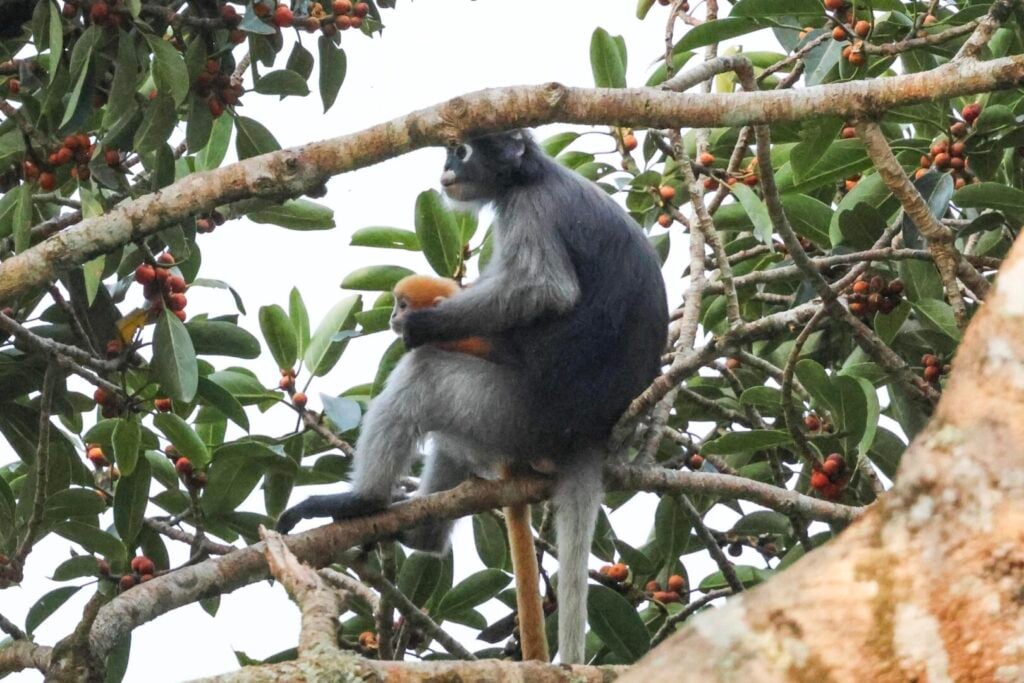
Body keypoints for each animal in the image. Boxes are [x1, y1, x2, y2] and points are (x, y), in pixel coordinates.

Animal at [278, 130, 668, 664]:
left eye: (461, 152)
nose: (445, 168)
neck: (534, 174)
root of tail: (588, 438)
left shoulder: (530, 207)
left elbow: (544, 290)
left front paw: (422, 325)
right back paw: (416, 532)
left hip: (509, 413)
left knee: (422, 377)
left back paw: (362, 501)